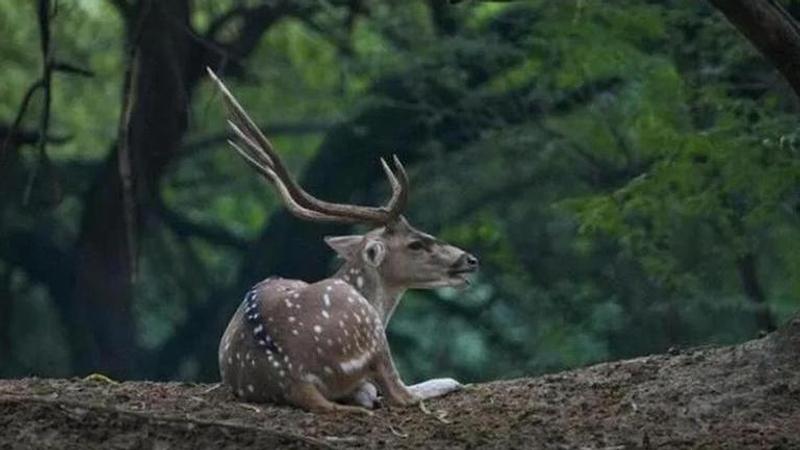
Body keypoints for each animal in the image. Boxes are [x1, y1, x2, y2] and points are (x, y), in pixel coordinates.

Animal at [209, 67, 478, 414]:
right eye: (416, 243)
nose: (470, 259)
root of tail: (294, 379)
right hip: (369, 330)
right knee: (400, 393)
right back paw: (447, 381)